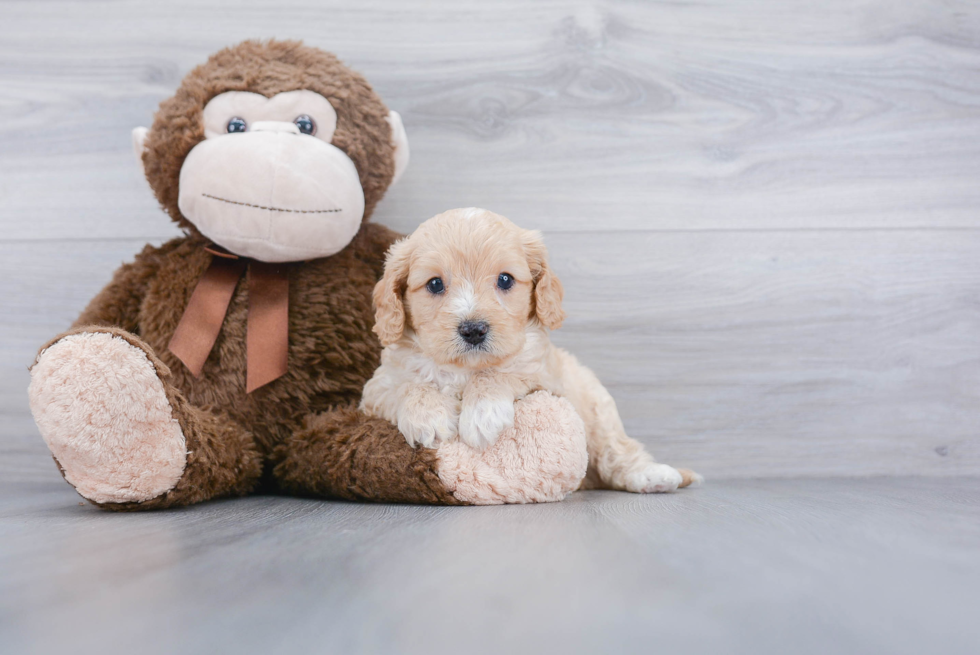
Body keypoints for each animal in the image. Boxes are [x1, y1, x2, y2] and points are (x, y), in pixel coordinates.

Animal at [358, 209, 696, 492]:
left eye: (505, 279)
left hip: (598, 409)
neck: (465, 369)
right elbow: (408, 385)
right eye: (435, 284)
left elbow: (505, 372)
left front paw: (483, 412)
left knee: (617, 452)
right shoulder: (375, 392)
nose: (473, 330)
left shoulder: (546, 379)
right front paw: (429, 417)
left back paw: (653, 475)